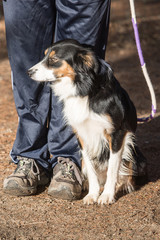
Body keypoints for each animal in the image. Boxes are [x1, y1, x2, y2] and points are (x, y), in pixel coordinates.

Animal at [28, 39, 146, 204]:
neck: (84, 88)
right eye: (45, 56)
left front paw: (107, 195)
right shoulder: (82, 134)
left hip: (135, 153)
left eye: (54, 59)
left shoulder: (117, 133)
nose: (29, 72)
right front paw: (93, 194)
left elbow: (112, 168)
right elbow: (90, 168)